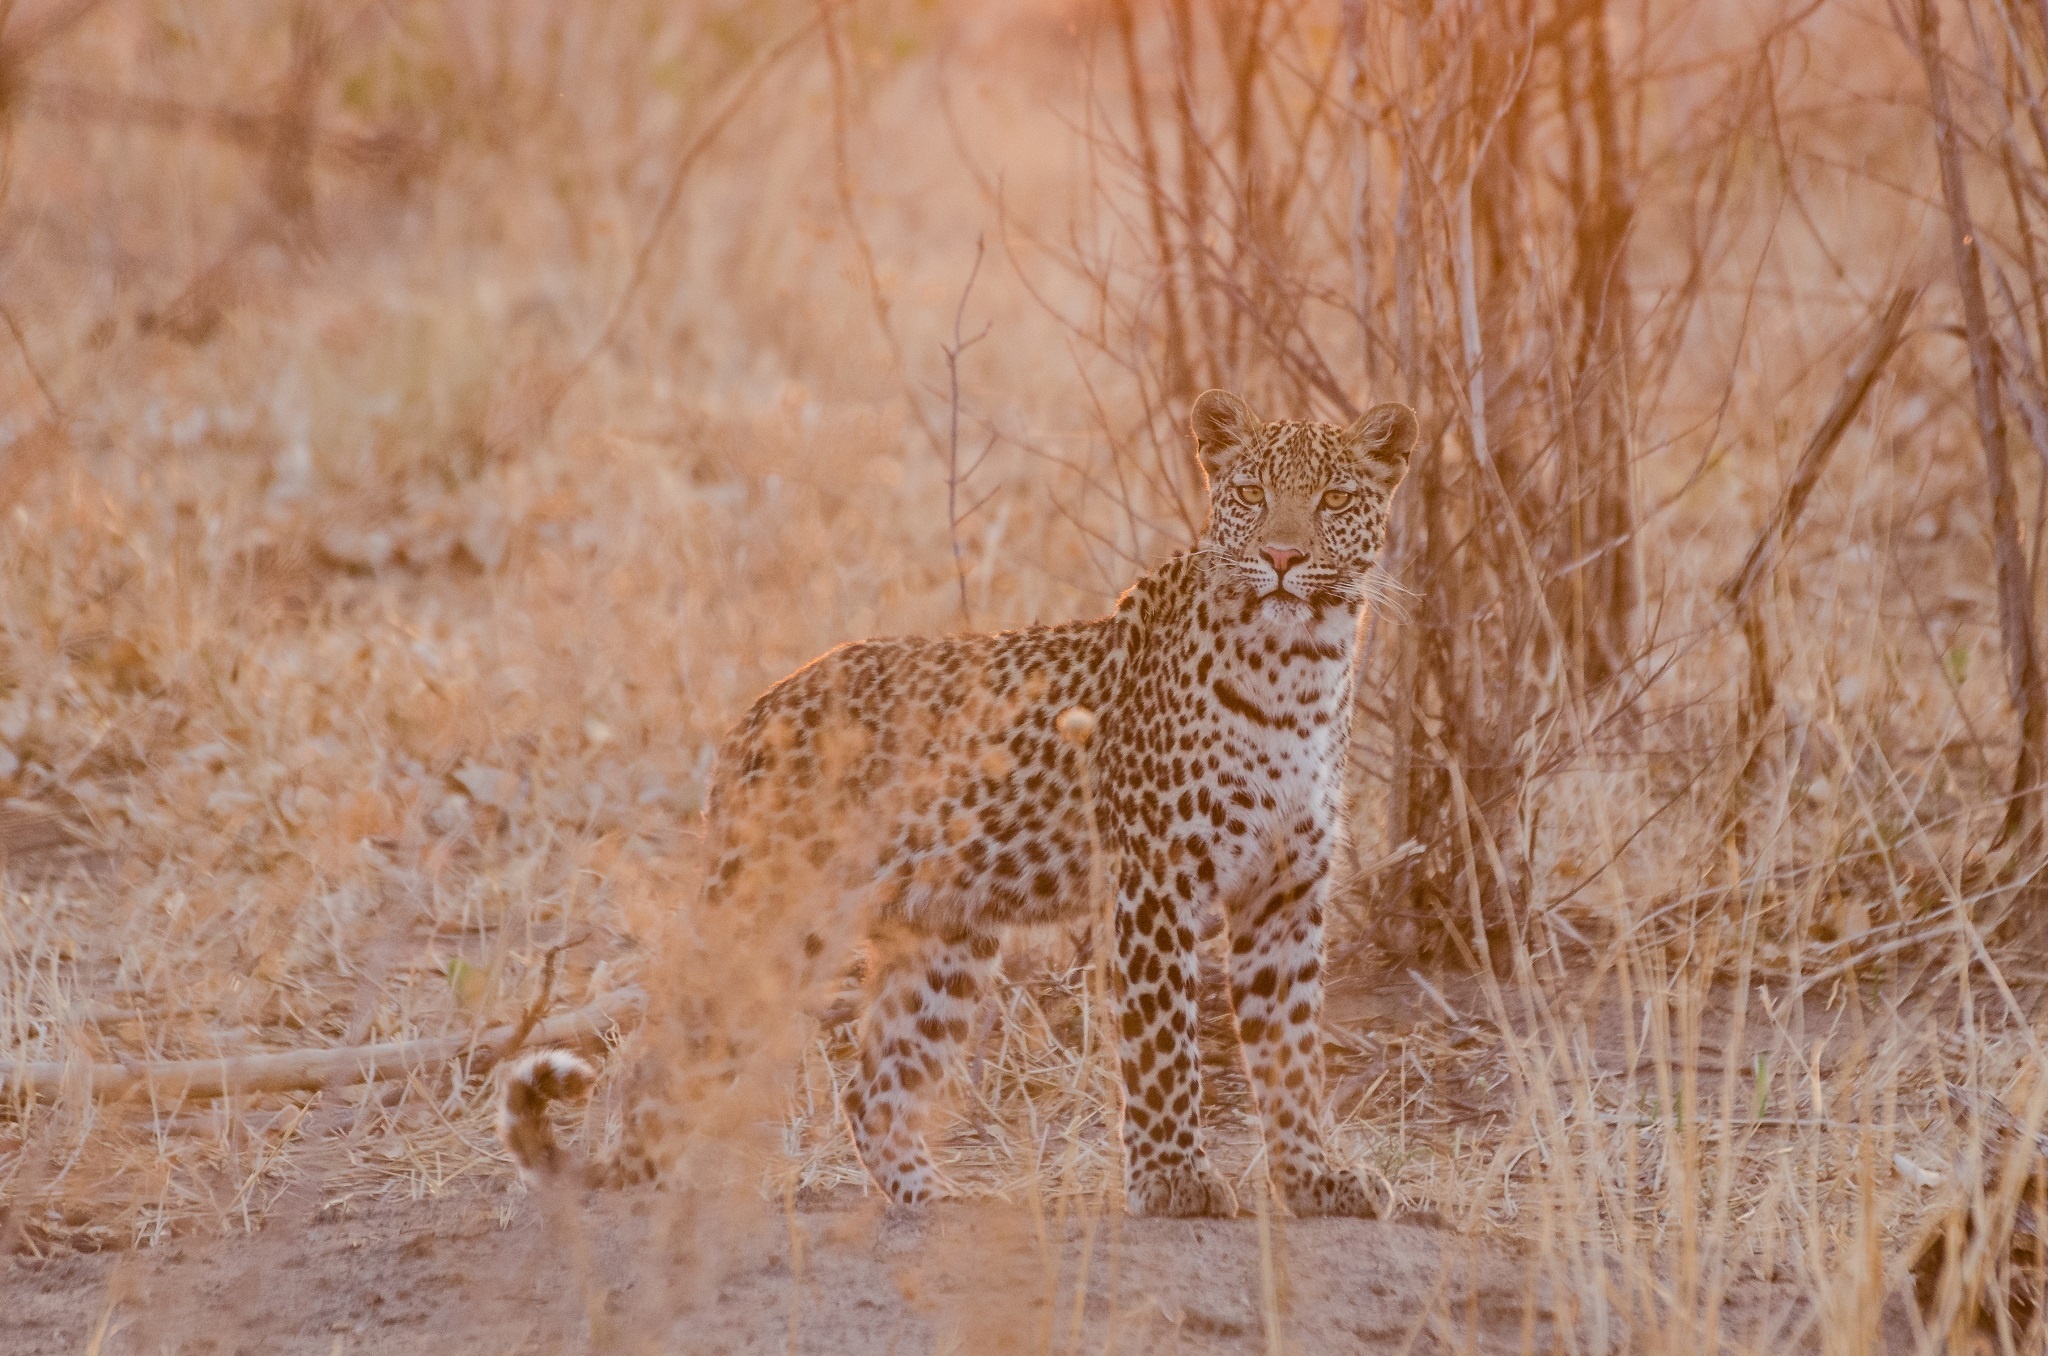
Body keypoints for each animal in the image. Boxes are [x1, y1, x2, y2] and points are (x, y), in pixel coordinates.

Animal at [503, 391, 1417, 1220]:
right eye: (1252, 494)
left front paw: (1317, 1179)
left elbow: (1292, 1048)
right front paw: (1174, 1184)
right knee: (662, 1054)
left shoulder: (1286, 893)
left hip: (943, 940)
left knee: (873, 1083)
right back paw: (637, 1186)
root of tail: (751, 719)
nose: (1283, 555)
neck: (1300, 669)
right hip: (773, 914)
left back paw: (934, 1200)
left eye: (1335, 500)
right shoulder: (1155, 882)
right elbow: (1164, 1046)